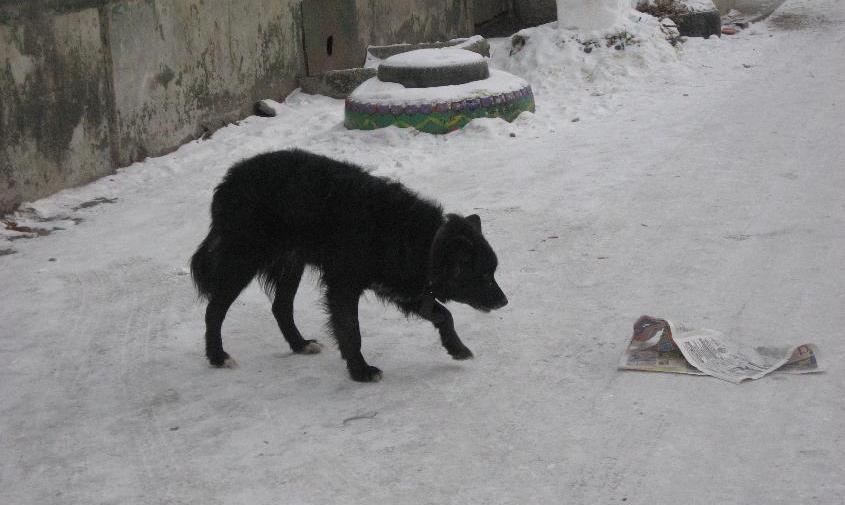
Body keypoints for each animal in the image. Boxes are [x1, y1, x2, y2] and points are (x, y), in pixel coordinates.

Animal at [192, 150, 508, 382]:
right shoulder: (343, 286)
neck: (416, 237)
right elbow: (350, 330)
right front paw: (360, 371)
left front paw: (457, 348)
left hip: (291, 263)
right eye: (483, 274)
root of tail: (230, 179)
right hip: (243, 261)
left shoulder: (402, 287)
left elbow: (444, 314)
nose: (504, 301)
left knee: (280, 307)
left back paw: (299, 344)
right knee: (214, 309)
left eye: (492, 272)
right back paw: (218, 356)